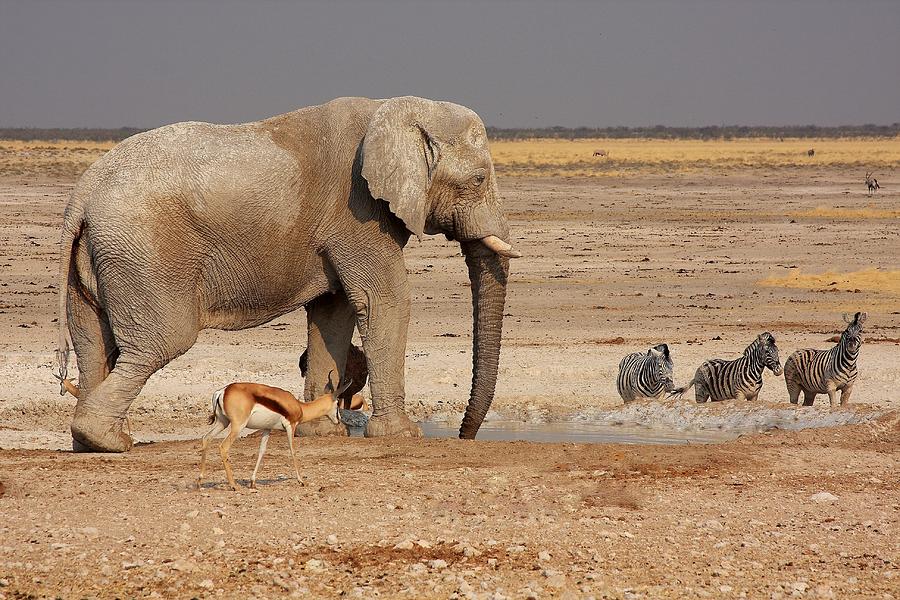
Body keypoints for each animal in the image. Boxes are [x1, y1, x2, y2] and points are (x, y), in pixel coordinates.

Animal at [54, 96, 520, 450]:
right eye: (479, 180)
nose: (464, 436)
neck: (392, 110)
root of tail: (83, 193)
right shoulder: (357, 213)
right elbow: (385, 299)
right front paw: (401, 436)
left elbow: (333, 311)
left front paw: (319, 432)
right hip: (145, 252)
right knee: (159, 342)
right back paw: (109, 441)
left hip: (99, 255)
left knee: (93, 345)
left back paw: (90, 443)